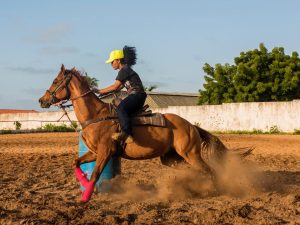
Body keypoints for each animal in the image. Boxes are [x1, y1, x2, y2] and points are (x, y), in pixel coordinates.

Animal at [38, 64, 252, 202]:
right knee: (195, 171)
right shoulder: (94, 152)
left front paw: (85, 198)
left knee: (209, 170)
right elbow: (76, 163)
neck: (96, 115)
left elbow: (95, 174)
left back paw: (216, 190)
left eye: (55, 81)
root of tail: (191, 126)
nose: (42, 100)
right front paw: (83, 187)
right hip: (171, 158)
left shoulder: (105, 152)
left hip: (190, 154)